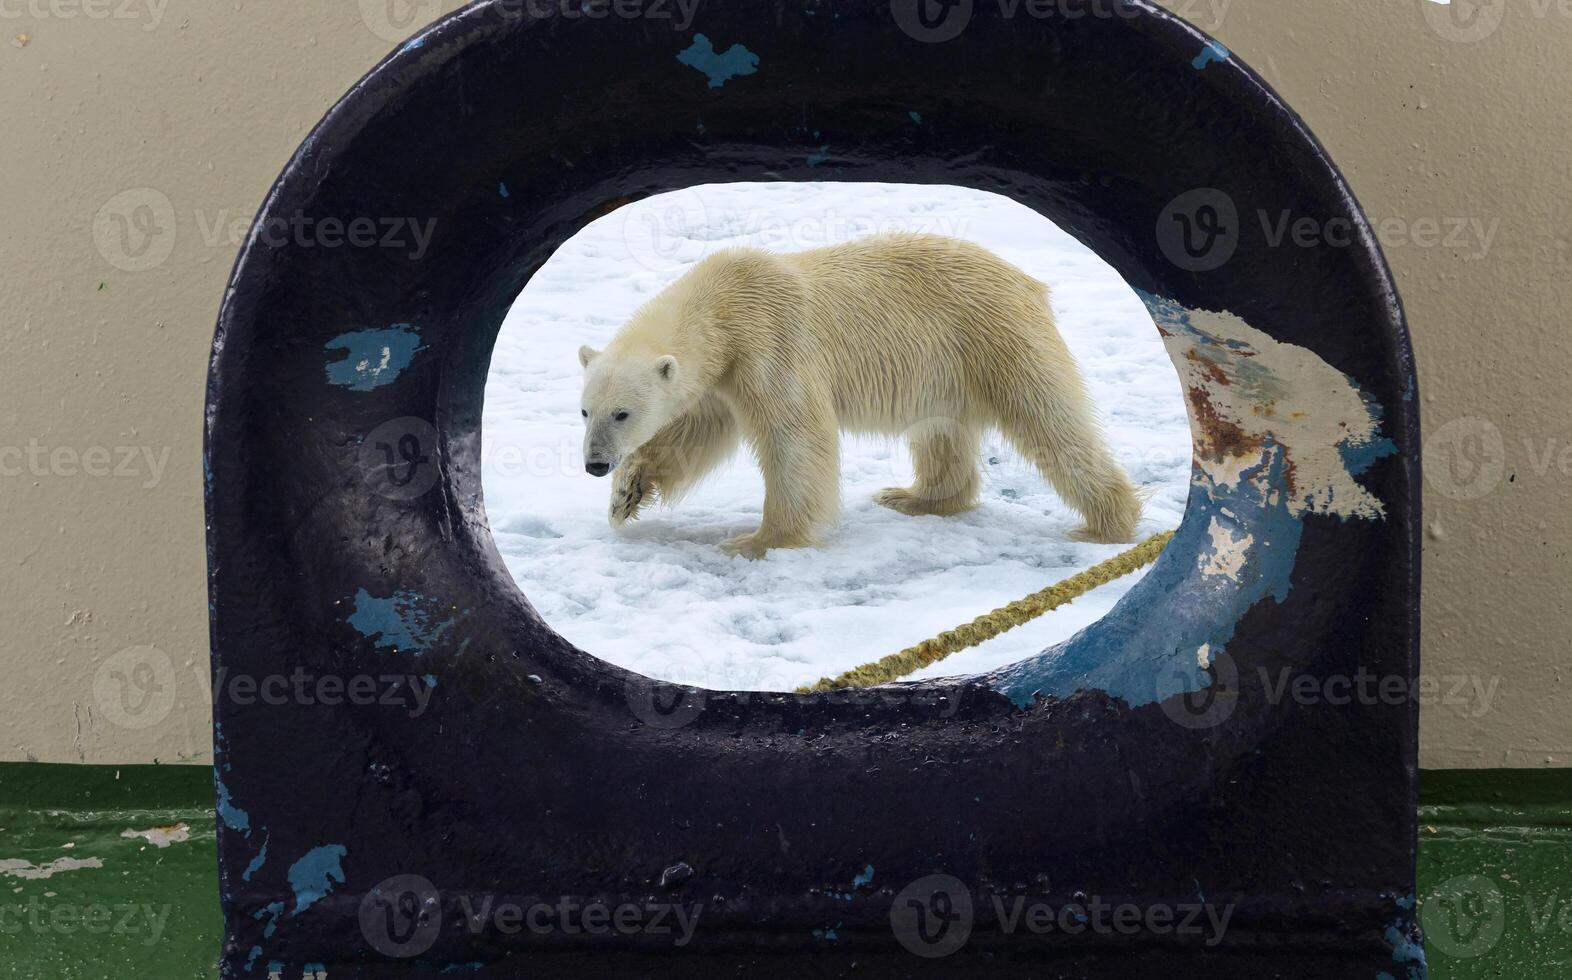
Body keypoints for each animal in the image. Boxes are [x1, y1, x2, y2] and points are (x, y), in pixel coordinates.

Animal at [578, 231, 1144, 560]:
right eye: (585, 411)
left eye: (622, 413)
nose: (595, 465)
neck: (724, 305)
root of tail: (1028, 283)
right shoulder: (721, 377)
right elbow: (694, 433)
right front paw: (627, 495)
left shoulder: (769, 344)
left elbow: (794, 438)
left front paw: (757, 542)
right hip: (947, 366)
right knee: (940, 432)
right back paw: (914, 497)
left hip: (995, 335)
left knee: (1050, 419)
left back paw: (1107, 524)